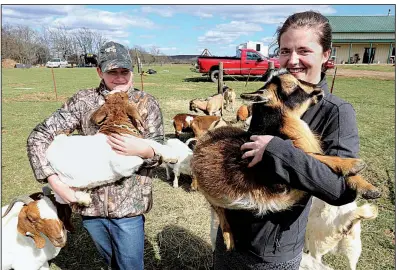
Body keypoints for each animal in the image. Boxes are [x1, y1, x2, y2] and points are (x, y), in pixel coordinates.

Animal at [192, 69, 382, 251]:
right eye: (292, 85)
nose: (318, 89)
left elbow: (317, 158)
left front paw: (369, 188)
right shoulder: (275, 181)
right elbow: (312, 156)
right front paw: (353, 164)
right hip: (209, 192)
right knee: (219, 211)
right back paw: (229, 238)